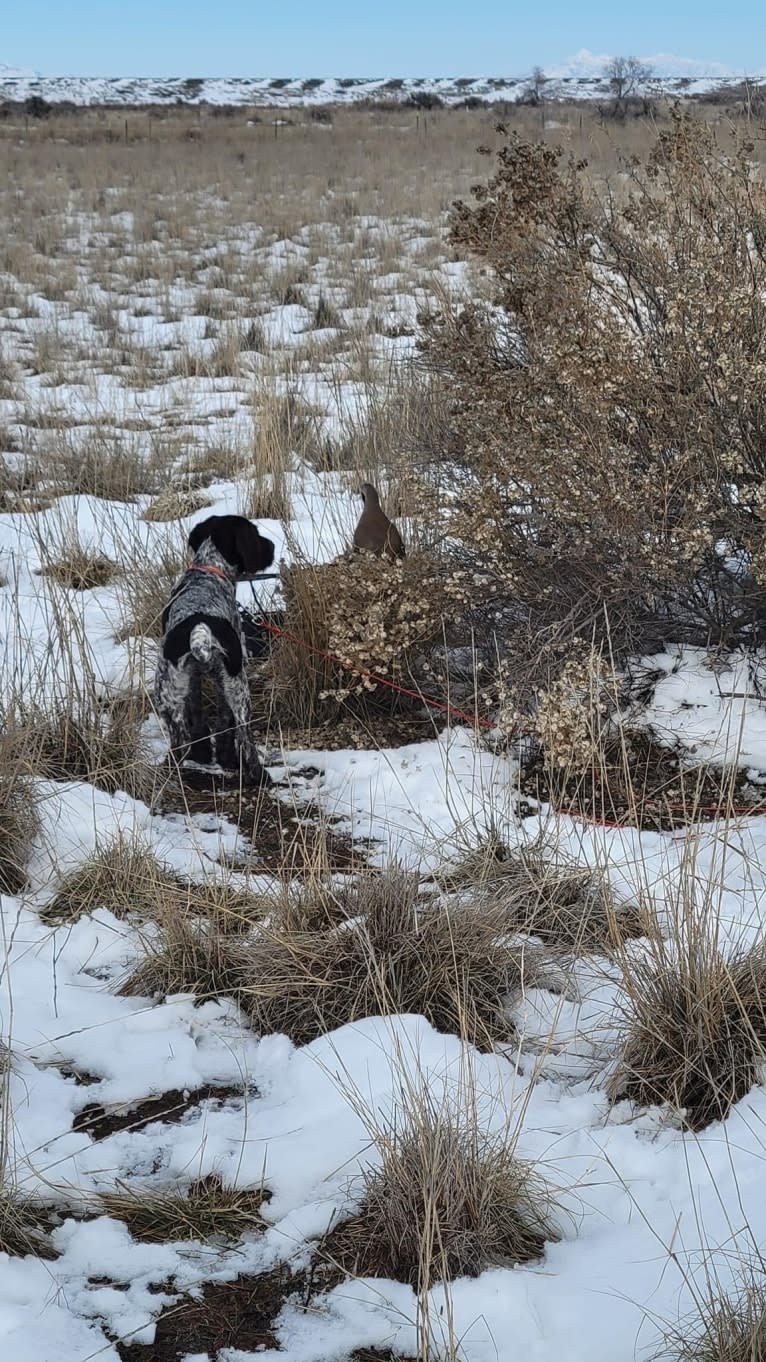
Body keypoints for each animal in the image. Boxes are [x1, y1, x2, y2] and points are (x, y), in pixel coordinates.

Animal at [152, 512, 273, 789]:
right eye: (256, 534)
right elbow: (223, 723)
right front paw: (223, 758)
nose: (272, 546)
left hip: (167, 693)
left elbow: (203, 717)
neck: (209, 570)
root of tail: (200, 627)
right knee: (244, 737)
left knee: (180, 743)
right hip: (238, 689)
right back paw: (257, 776)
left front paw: (208, 755)